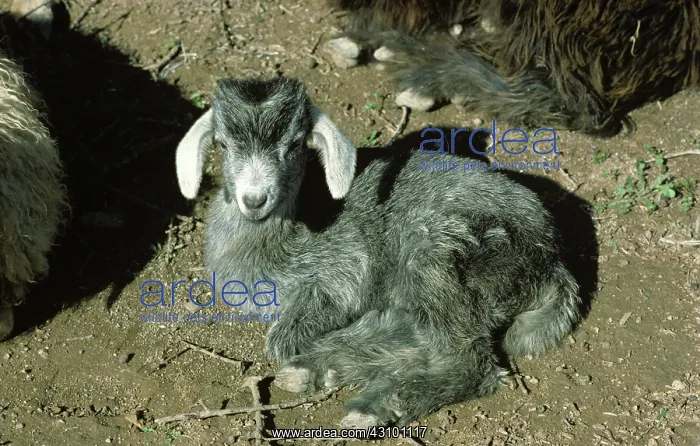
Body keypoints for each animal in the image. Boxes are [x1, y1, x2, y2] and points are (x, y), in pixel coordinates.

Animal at [174, 76, 582, 427]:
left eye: (294, 144)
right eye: (223, 144)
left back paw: (377, 401)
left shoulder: (345, 267)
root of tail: (553, 259)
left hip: (438, 248)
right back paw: (324, 368)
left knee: (470, 358)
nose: (254, 199)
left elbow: (283, 338)